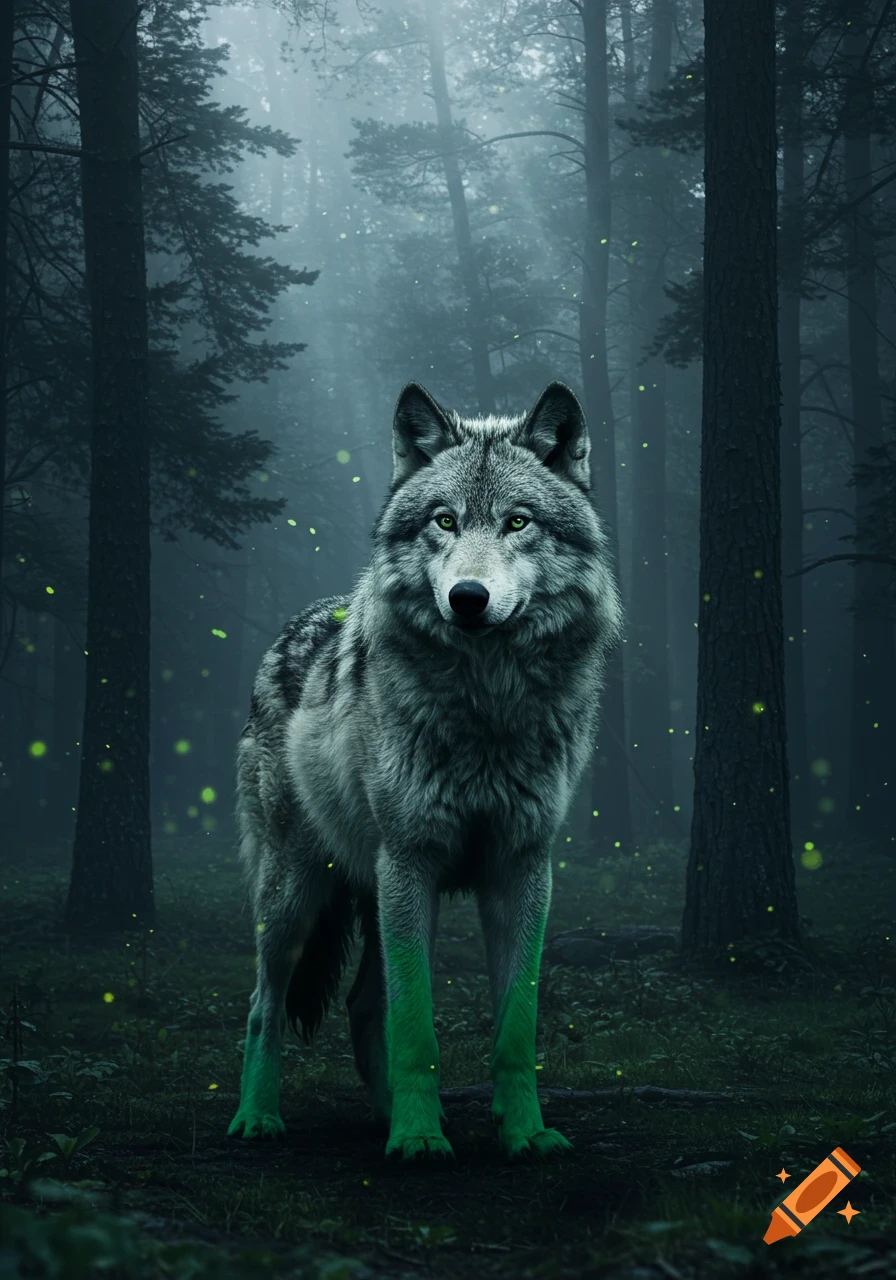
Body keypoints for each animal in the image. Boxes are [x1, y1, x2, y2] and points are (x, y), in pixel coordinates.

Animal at [228, 380, 622, 1161]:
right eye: (445, 520)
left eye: (517, 522)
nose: (467, 597)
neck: (487, 711)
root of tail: (290, 631)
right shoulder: (412, 860)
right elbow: (417, 1024)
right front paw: (418, 1137)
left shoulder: (523, 868)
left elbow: (512, 1027)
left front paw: (524, 1132)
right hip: (297, 898)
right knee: (265, 1005)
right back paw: (260, 1118)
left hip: (372, 891)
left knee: (361, 1004)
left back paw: (387, 1116)